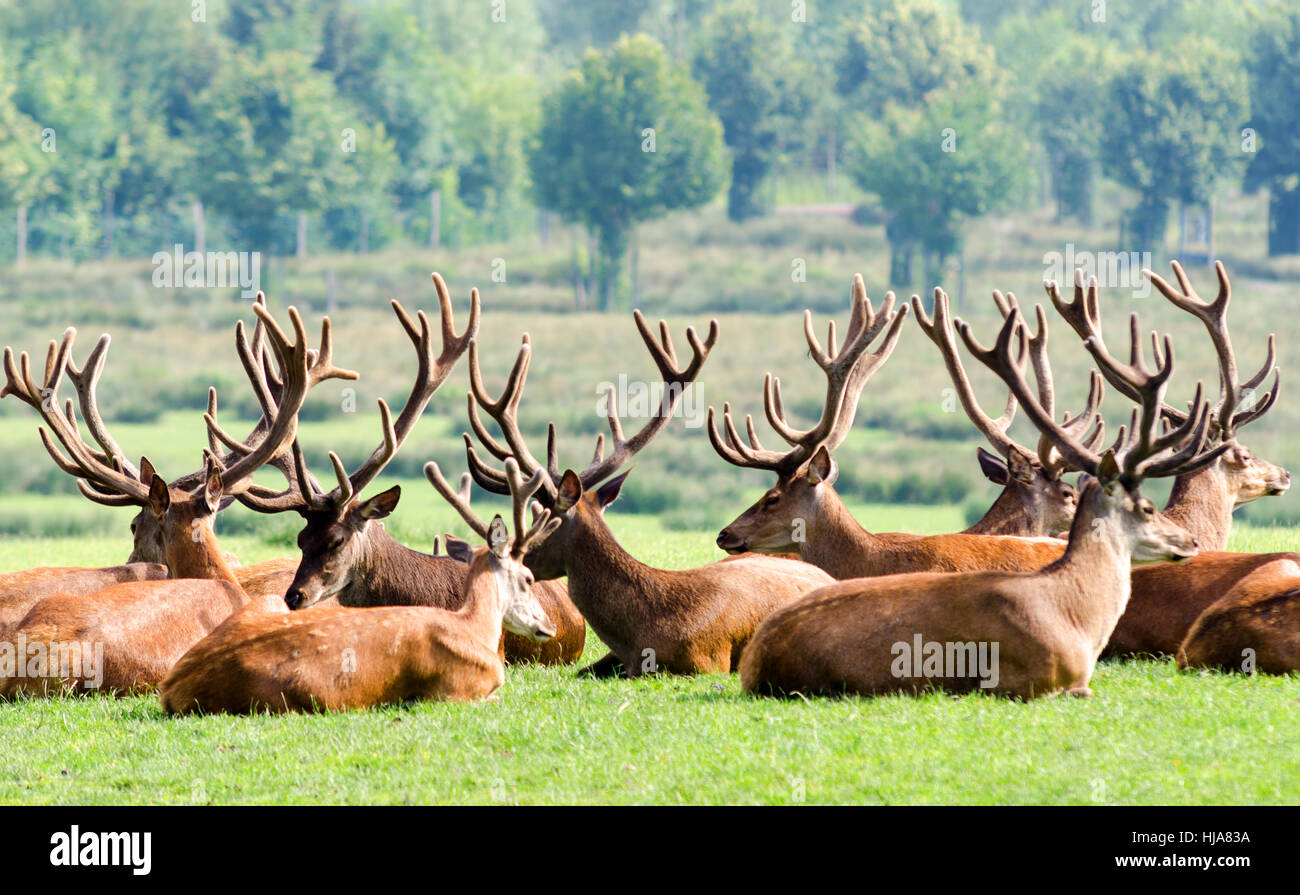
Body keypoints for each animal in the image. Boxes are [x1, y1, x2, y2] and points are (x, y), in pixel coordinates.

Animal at [156, 455, 559, 712]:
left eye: (332, 541)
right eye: (528, 577)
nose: (549, 625)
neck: (473, 626)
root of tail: (170, 688)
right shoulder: (456, 692)